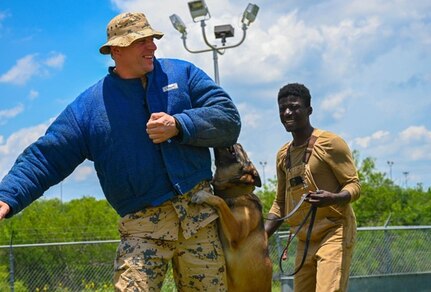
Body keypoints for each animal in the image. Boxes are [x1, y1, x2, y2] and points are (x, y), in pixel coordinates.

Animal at [193, 144, 274, 292]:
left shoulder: (237, 232)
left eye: (241, 150)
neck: (235, 193)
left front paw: (203, 195)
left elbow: (220, 201)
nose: (238, 143)